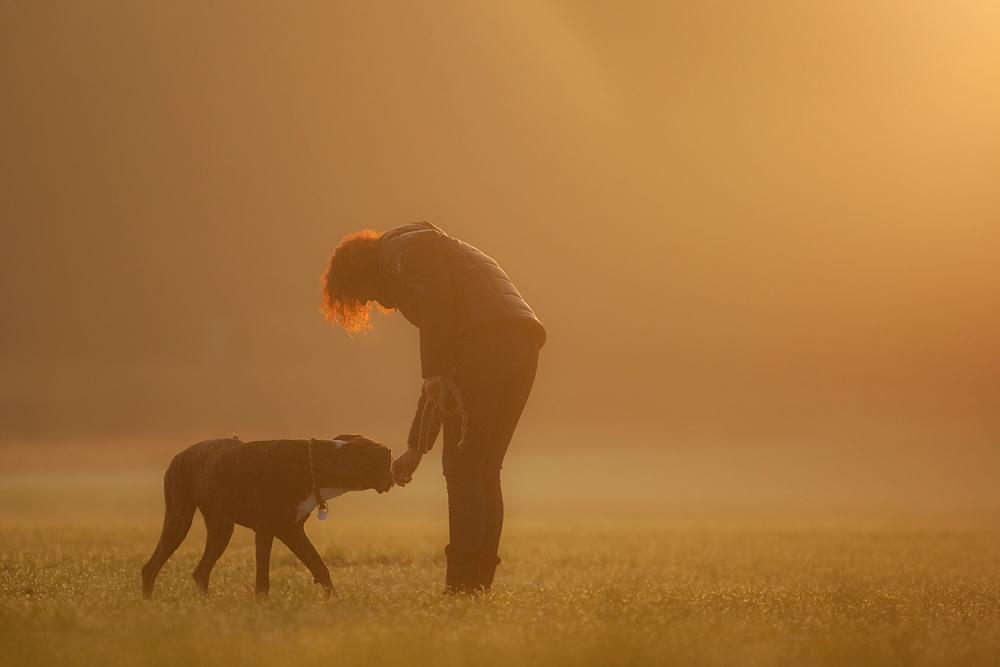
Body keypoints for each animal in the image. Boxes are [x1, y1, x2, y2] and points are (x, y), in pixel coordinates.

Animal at [141, 436, 390, 596]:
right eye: (384, 462)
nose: (393, 473)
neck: (315, 464)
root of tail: (179, 455)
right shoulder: (266, 530)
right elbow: (262, 579)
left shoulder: (291, 531)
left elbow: (319, 566)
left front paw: (334, 602)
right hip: (178, 521)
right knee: (150, 568)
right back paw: (148, 606)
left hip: (220, 530)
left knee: (200, 572)